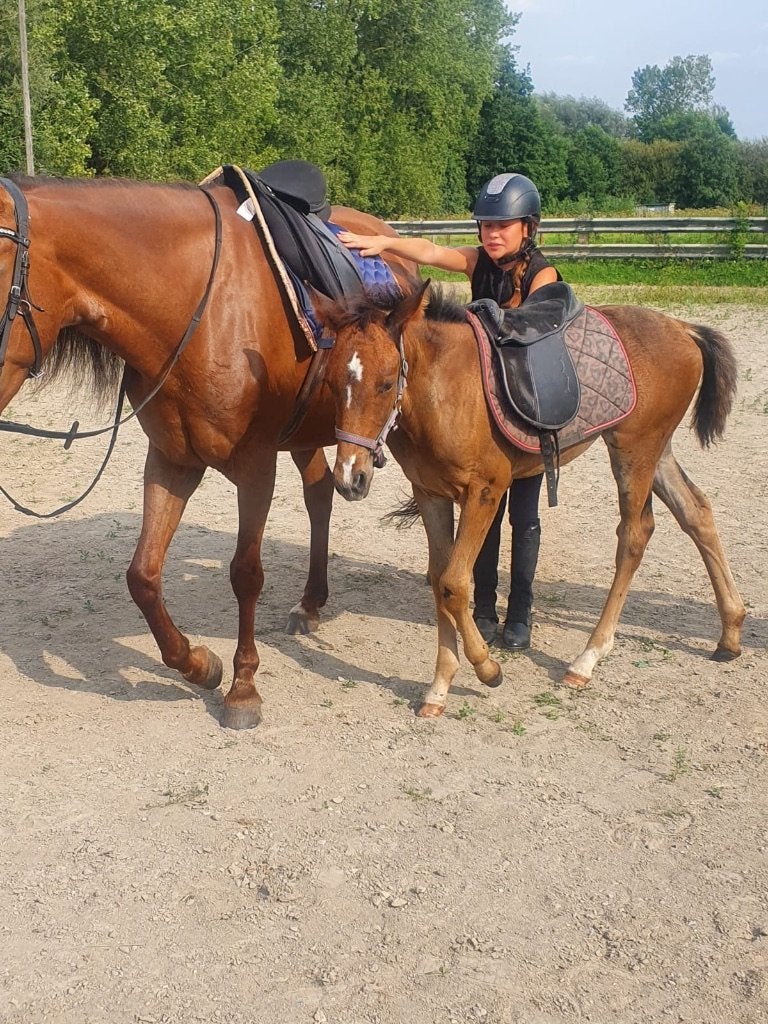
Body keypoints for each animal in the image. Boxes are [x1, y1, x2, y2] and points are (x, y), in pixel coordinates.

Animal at [0, 174, 417, 730]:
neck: (202, 311)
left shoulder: (256, 467)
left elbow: (246, 573)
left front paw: (243, 689)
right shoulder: (172, 461)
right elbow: (143, 576)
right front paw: (199, 665)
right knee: (320, 493)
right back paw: (310, 603)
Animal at [310, 280, 746, 717]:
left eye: (385, 383)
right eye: (329, 383)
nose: (350, 479)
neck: (444, 389)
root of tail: (682, 328)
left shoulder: (485, 491)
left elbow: (454, 583)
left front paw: (487, 669)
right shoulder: (430, 494)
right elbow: (439, 583)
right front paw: (439, 688)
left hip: (634, 450)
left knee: (635, 535)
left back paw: (586, 659)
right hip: (656, 451)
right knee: (697, 512)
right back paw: (731, 632)